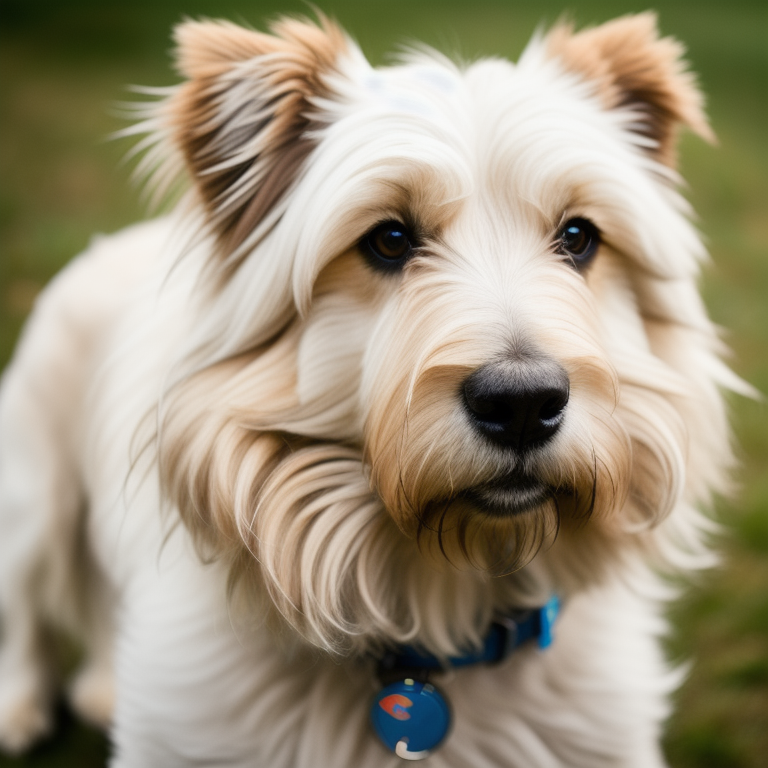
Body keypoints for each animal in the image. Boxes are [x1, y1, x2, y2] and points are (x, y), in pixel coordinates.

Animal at [0, 12, 744, 768]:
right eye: (388, 239)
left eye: (578, 236)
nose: (523, 404)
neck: (439, 610)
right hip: (33, 505)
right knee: (26, 615)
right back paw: (19, 707)